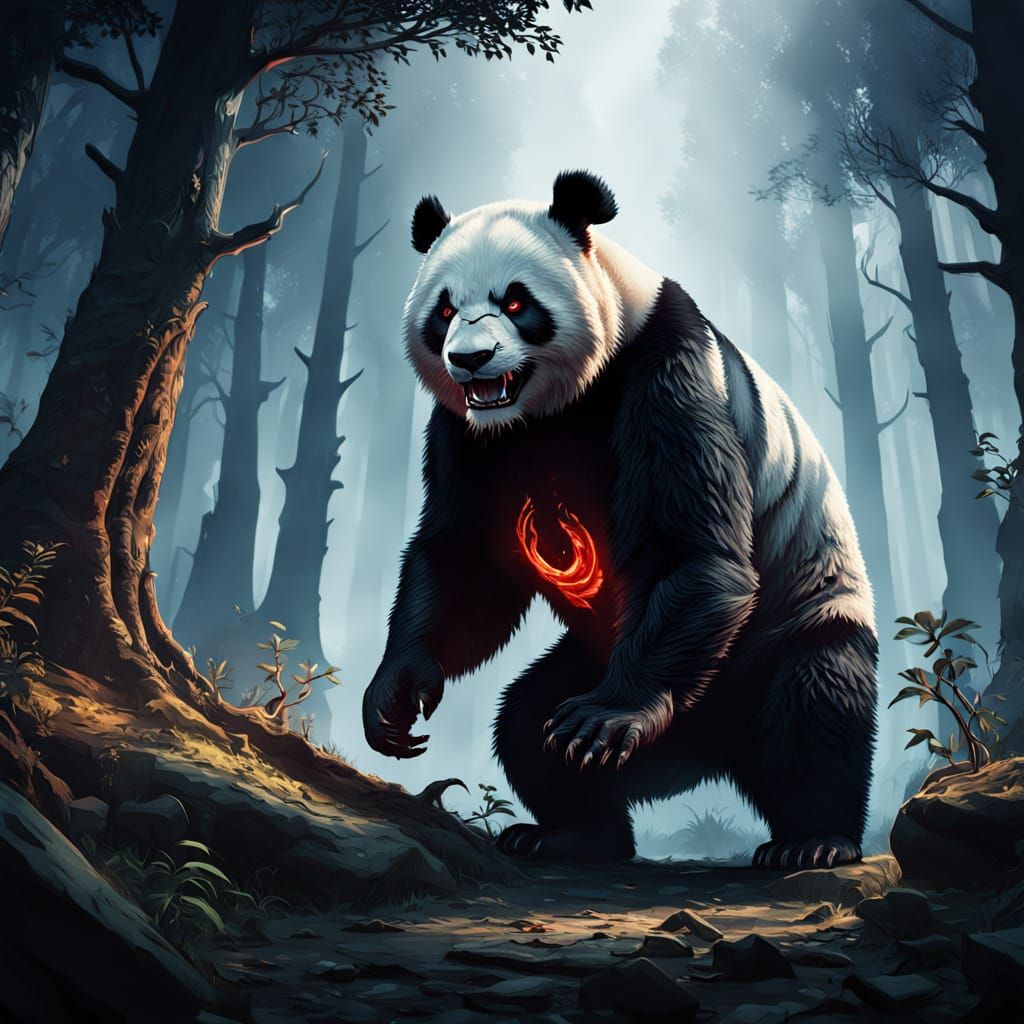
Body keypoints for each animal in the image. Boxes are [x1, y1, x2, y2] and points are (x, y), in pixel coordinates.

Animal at [363, 171, 877, 869]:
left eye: (517, 302)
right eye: (443, 310)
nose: (469, 359)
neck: (548, 408)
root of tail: (706, 755)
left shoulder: (663, 366)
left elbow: (692, 549)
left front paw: (614, 717)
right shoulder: (470, 433)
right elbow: (462, 559)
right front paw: (395, 695)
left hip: (791, 620)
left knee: (815, 701)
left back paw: (812, 840)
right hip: (595, 653)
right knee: (527, 726)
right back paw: (572, 831)